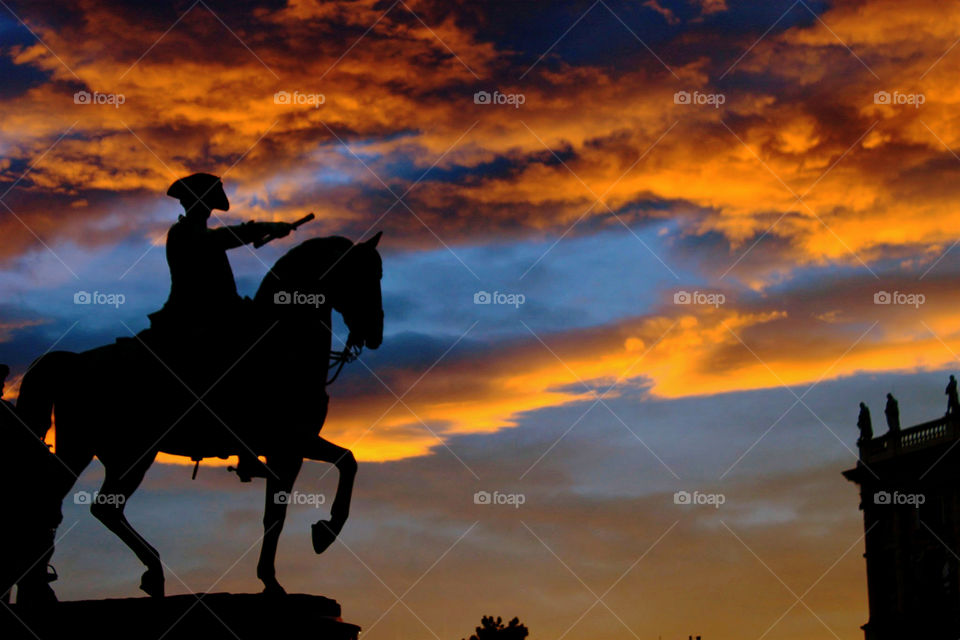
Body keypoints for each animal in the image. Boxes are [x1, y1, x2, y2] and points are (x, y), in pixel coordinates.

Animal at [14, 232, 382, 604]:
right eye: (363, 275)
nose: (376, 332)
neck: (283, 346)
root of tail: (73, 361)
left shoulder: (294, 445)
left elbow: (342, 464)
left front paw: (311, 543)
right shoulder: (288, 446)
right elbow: (284, 509)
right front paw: (311, 545)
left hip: (119, 455)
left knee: (97, 507)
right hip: (104, 451)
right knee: (69, 504)